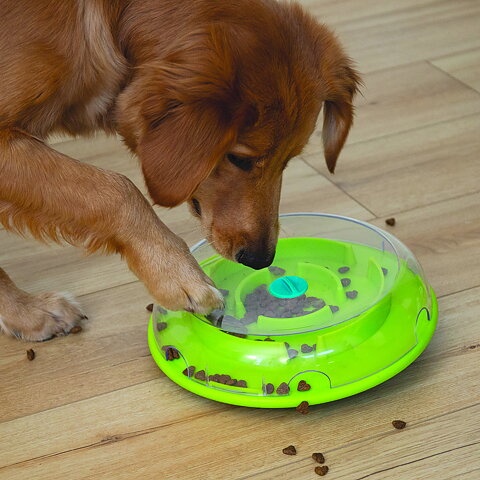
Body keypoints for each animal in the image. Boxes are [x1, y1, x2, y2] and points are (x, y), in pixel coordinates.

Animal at [0, 0, 360, 342]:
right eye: (239, 159)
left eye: (288, 159)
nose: (260, 260)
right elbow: (118, 189)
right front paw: (178, 275)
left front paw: (25, 313)